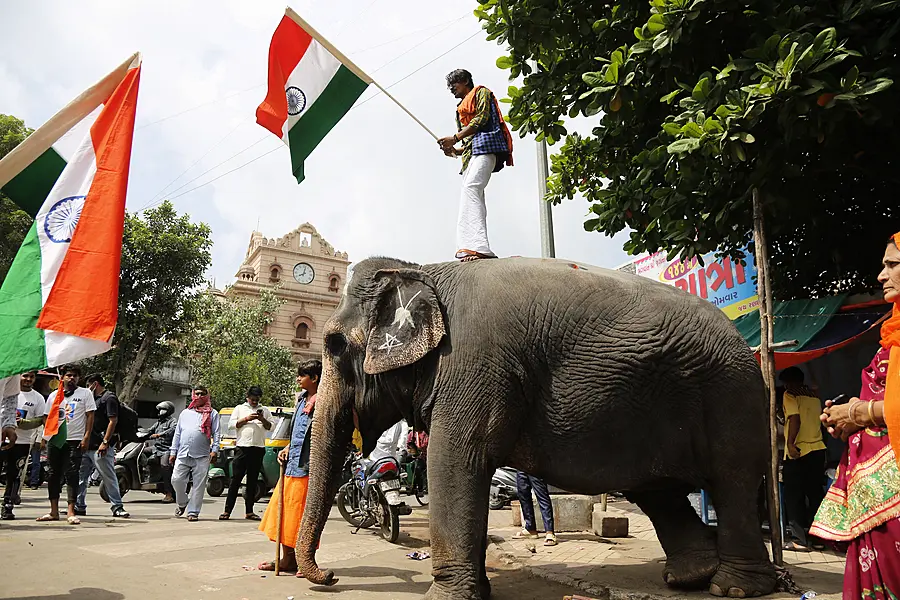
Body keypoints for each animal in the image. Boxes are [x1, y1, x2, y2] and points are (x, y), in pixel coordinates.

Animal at [296, 255, 772, 596]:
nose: (330, 576)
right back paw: (690, 578)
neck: (421, 271)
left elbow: (454, 462)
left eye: (334, 345)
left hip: (732, 395)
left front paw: (447, 596)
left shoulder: (471, 366)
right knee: (658, 490)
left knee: (733, 481)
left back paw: (733, 587)